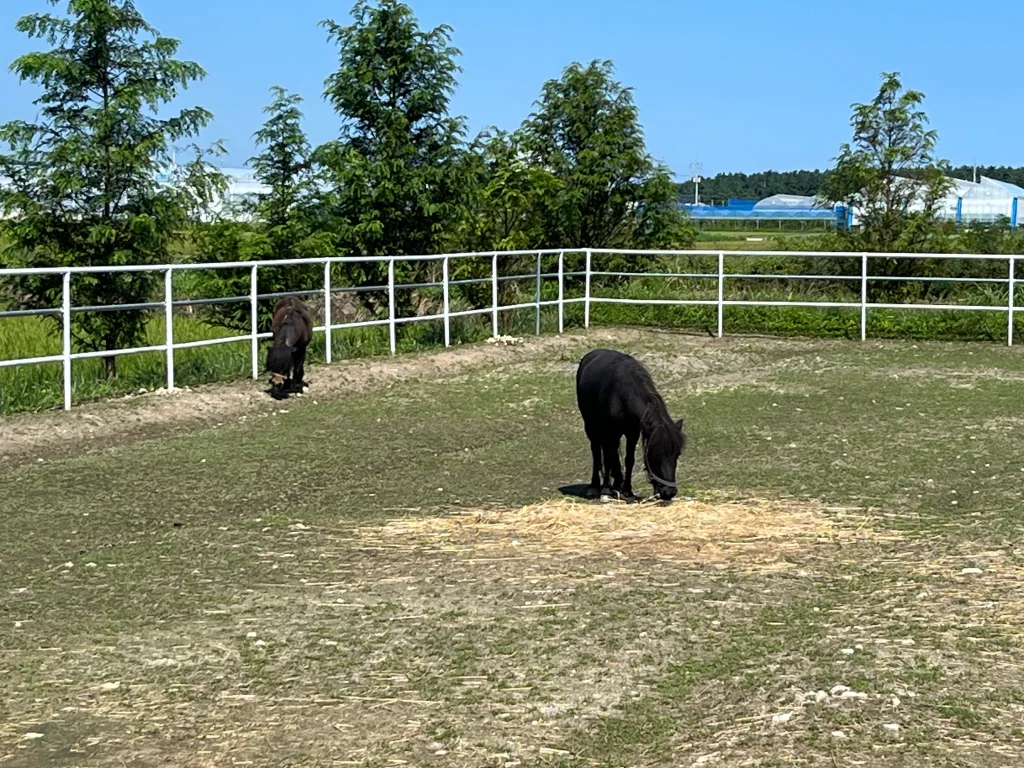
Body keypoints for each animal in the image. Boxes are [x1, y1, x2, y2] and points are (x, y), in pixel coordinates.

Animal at [577, 348, 688, 505]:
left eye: (677, 455)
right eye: (654, 455)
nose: (669, 492)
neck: (621, 394)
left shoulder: (632, 433)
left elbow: (629, 460)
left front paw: (628, 492)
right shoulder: (610, 431)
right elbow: (607, 458)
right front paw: (605, 491)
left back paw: (617, 483)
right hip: (591, 425)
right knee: (597, 451)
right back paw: (595, 485)